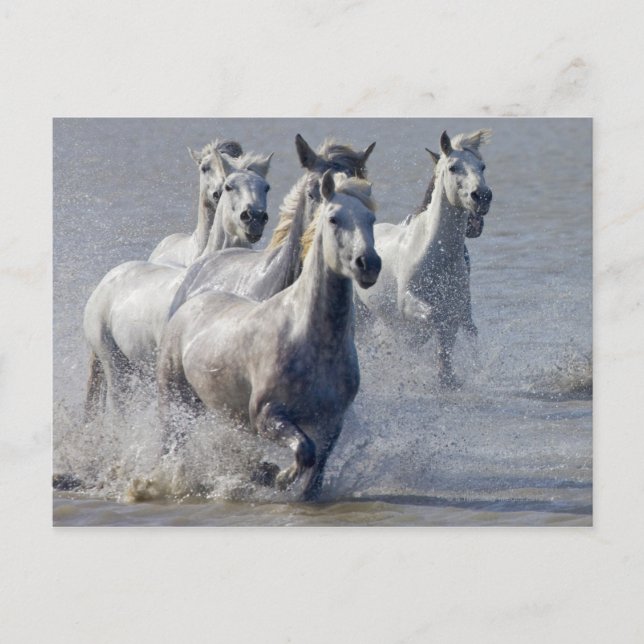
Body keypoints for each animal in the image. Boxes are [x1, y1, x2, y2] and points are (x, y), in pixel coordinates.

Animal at [157, 172, 381, 501]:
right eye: (334, 219)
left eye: (371, 219)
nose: (368, 264)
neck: (314, 342)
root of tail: (189, 302)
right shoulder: (266, 415)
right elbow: (304, 450)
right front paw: (279, 477)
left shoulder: (332, 422)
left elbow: (316, 468)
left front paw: (278, 477)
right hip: (175, 400)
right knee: (169, 446)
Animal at [354, 129, 492, 387]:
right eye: (453, 167)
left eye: (482, 166)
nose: (482, 196)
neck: (434, 254)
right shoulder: (408, 302)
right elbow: (434, 318)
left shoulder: (458, 305)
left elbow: (452, 332)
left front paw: (447, 376)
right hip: (360, 314)